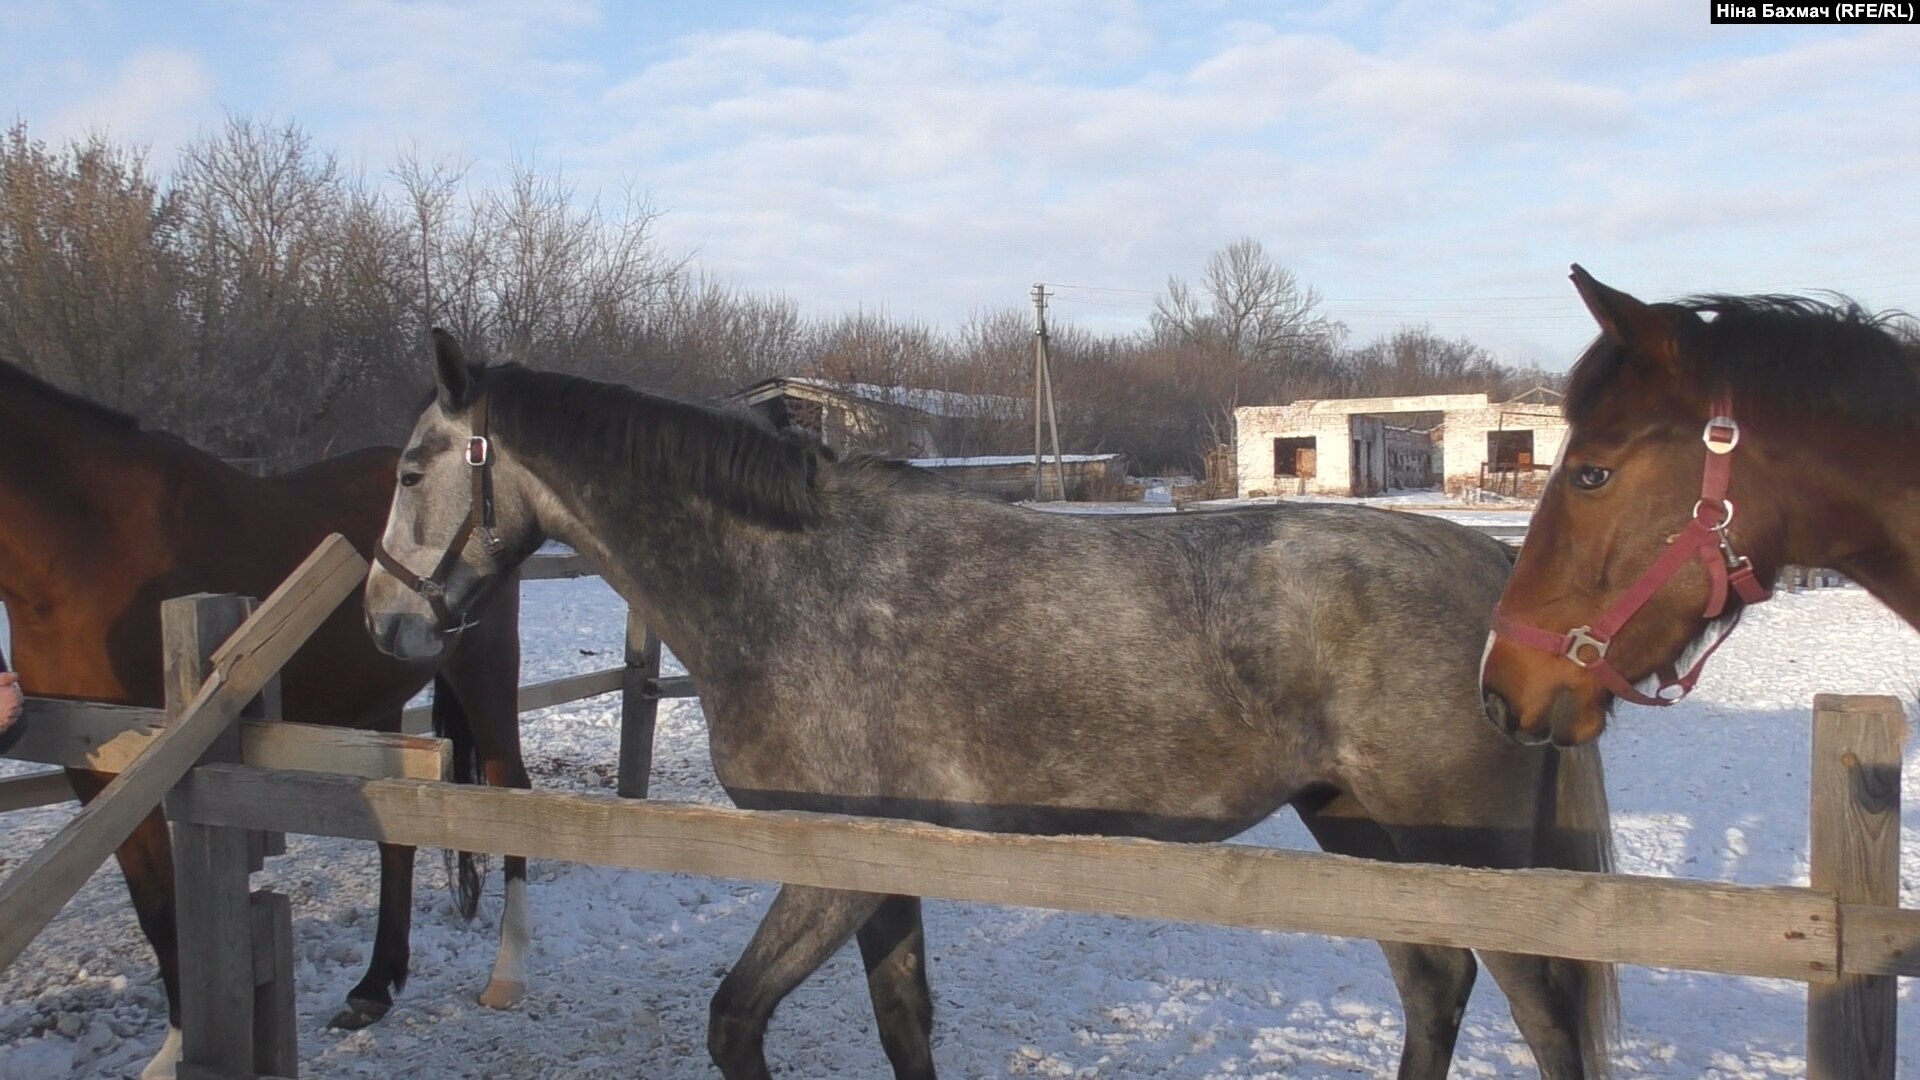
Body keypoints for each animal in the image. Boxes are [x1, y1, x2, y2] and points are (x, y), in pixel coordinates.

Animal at [0, 355, 533, 1076]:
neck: (85, 544)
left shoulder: (166, 761)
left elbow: (174, 907)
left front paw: (183, 1048)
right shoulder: (93, 767)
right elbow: (153, 907)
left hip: (484, 672)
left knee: (513, 795)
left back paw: (506, 977)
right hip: (380, 705)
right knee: (398, 838)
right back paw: (373, 988)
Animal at [362, 332, 1620, 1068]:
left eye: (412, 470)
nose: (385, 624)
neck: (793, 583)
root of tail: (1492, 583)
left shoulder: (833, 865)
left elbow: (736, 1018)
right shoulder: (889, 869)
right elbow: (902, 1020)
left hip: (1464, 849)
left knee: (1542, 1015)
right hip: (1362, 828)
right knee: (1434, 984)